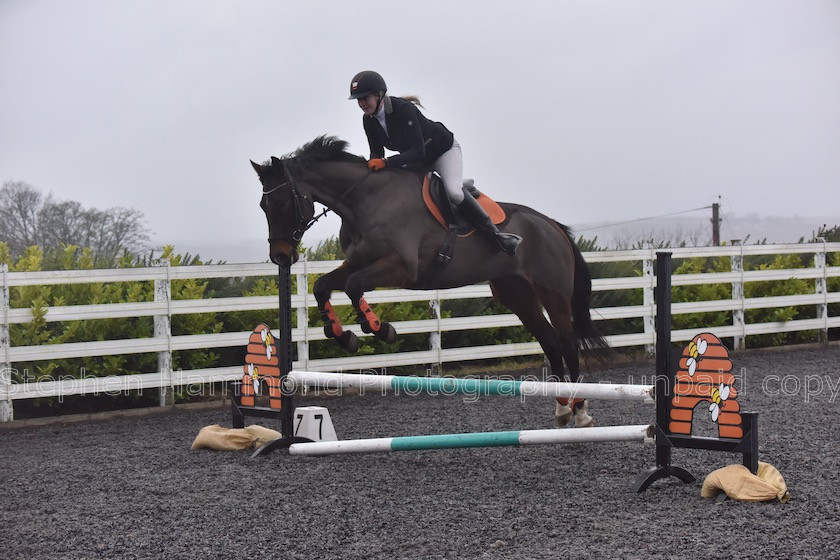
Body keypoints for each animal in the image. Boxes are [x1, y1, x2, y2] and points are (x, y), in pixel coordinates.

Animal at [251, 137, 612, 428]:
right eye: (263, 205)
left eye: (281, 202)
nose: (281, 256)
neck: (364, 201)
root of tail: (551, 224)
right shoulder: (357, 262)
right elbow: (323, 286)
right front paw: (343, 335)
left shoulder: (401, 268)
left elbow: (353, 286)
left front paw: (379, 329)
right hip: (516, 294)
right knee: (550, 342)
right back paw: (562, 407)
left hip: (553, 294)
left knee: (567, 345)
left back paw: (580, 410)